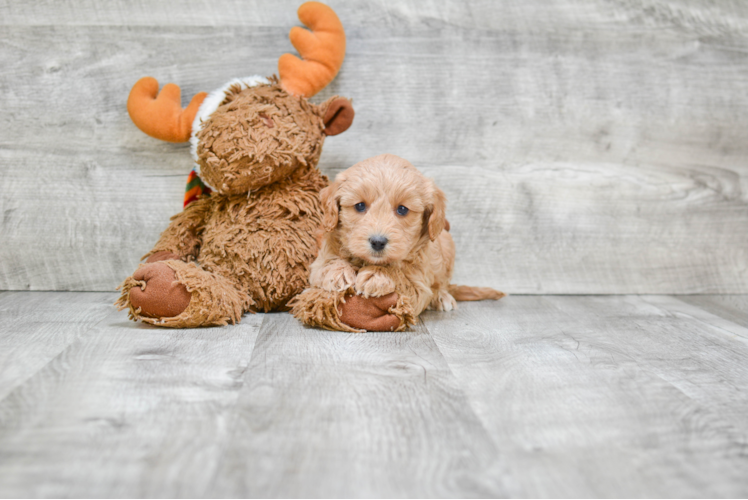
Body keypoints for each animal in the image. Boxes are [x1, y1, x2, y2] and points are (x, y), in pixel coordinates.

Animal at [290, 153, 502, 332]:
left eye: (402, 209)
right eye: (360, 206)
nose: (377, 242)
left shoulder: (419, 284)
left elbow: (401, 275)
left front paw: (377, 275)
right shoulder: (318, 262)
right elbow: (327, 263)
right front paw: (338, 272)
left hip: (447, 243)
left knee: (442, 284)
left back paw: (442, 296)